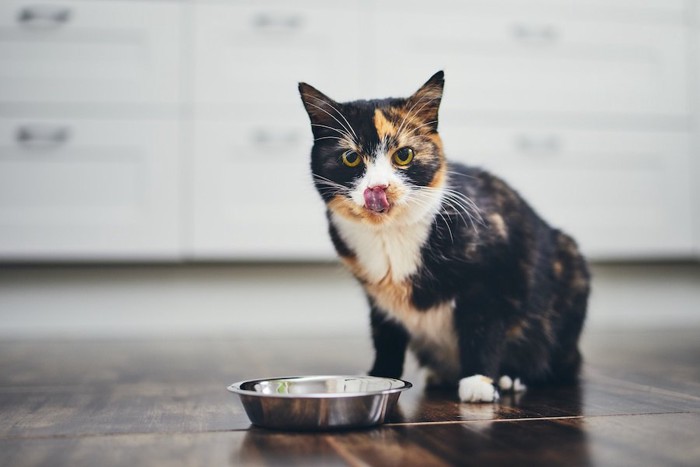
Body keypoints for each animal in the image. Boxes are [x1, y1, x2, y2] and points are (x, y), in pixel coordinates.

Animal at [298, 71, 588, 404]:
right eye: (350, 158)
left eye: (404, 155)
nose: (378, 188)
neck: (390, 234)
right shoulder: (378, 298)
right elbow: (385, 335)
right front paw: (379, 376)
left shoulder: (494, 272)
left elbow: (482, 326)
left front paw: (478, 381)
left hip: (568, 268)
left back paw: (513, 377)